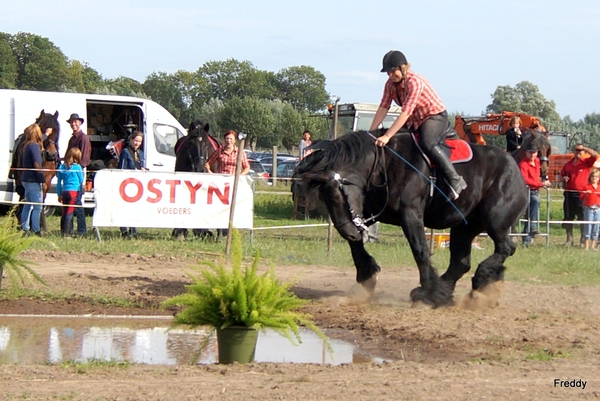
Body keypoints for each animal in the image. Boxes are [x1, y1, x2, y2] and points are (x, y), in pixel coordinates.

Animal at [294, 130, 524, 308]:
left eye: (336, 195)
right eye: (324, 198)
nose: (347, 231)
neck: (384, 164)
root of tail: (514, 166)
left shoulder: (411, 214)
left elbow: (420, 251)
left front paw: (426, 291)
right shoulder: (371, 212)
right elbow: (357, 246)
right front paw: (367, 276)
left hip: (494, 221)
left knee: (506, 248)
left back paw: (477, 280)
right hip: (464, 227)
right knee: (461, 263)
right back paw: (443, 293)